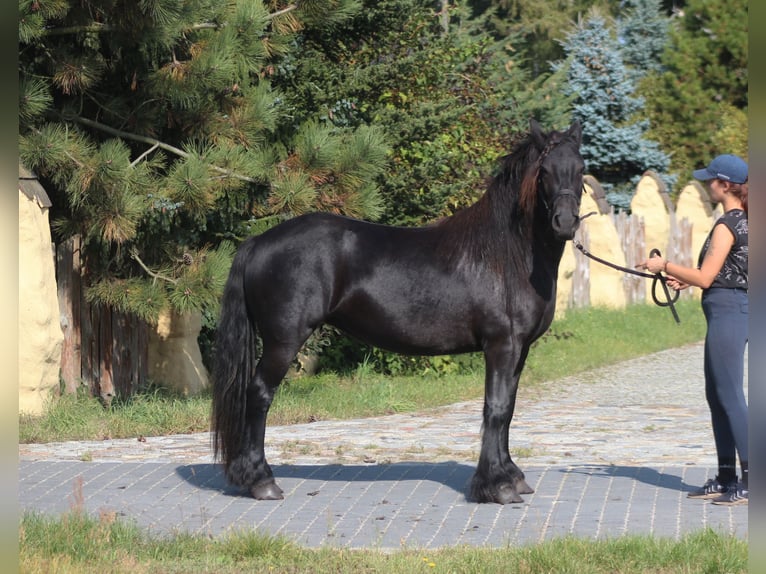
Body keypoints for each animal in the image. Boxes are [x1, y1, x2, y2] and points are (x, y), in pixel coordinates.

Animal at [213, 119, 584, 506]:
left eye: (580, 169)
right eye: (544, 172)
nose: (565, 222)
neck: (506, 255)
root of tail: (258, 242)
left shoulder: (519, 349)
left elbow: (508, 408)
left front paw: (511, 475)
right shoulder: (501, 345)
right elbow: (495, 408)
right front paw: (496, 485)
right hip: (282, 341)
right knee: (259, 396)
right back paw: (262, 480)